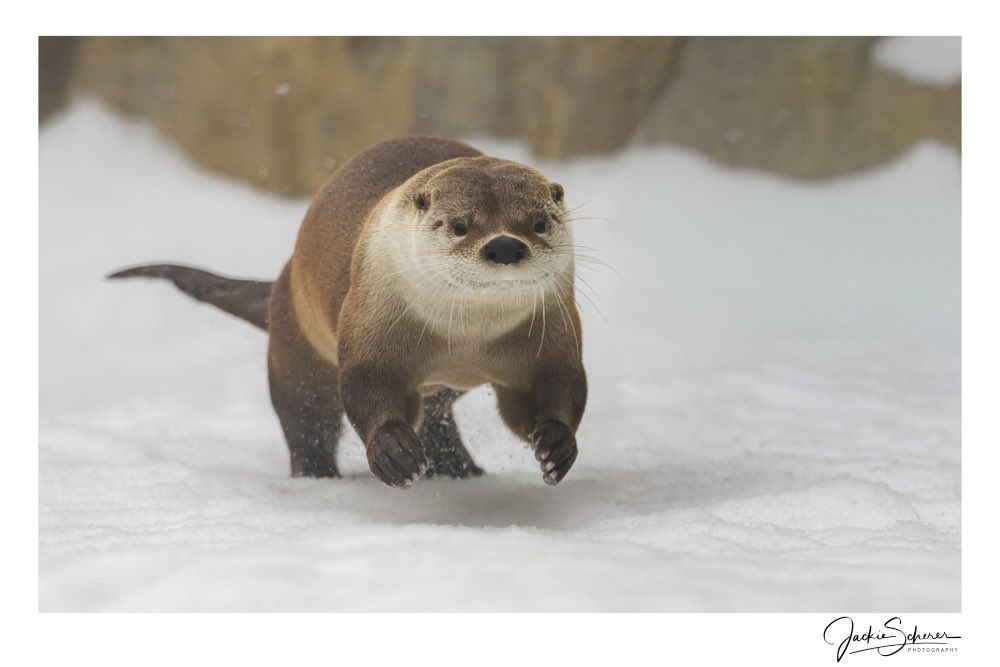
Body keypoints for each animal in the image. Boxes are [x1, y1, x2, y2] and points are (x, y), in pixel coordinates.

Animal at [109, 136, 586, 488]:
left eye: (539, 222)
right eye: (460, 225)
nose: (505, 246)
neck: (466, 339)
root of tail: (280, 285)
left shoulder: (554, 339)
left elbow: (557, 387)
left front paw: (556, 445)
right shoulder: (371, 318)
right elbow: (366, 384)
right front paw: (394, 454)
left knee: (437, 415)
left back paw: (461, 471)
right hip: (295, 345)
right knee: (305, 419)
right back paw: (317, 477)